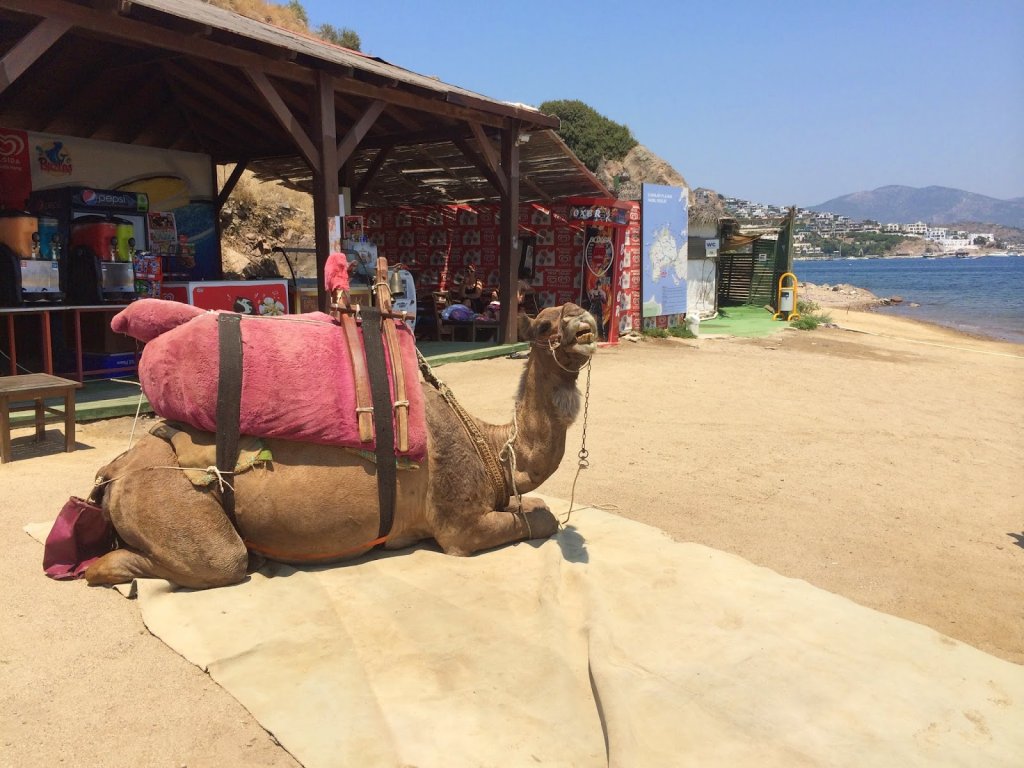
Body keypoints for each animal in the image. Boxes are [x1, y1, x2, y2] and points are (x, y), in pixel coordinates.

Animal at [86, 303, 598, 589]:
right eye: (543, 326)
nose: (585, 326)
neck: (490, 444)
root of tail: (116, 472)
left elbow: (534, 506)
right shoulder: (459, 526)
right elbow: (539, 518)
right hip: (169, 499)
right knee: (220, 561)